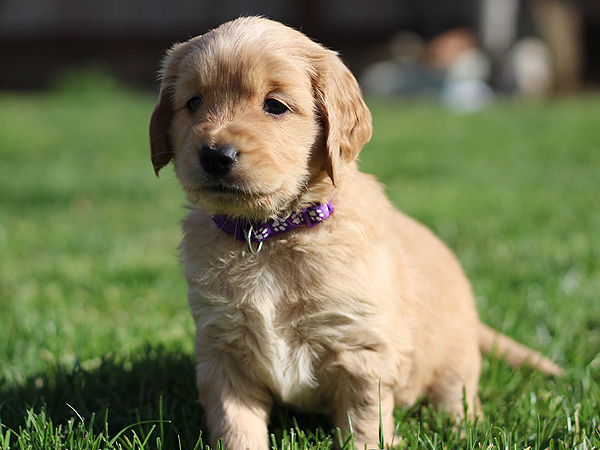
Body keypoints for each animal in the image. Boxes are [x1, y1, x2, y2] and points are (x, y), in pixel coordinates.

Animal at [149, 15, 564, 448]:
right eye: (193, 103)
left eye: (275, 106)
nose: (215, 155)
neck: (271, 235)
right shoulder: (222, 351)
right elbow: (235, 425)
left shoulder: (361, 348)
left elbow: (364, 421)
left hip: (456, 352)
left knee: (456, 394)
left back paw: (461, 427)